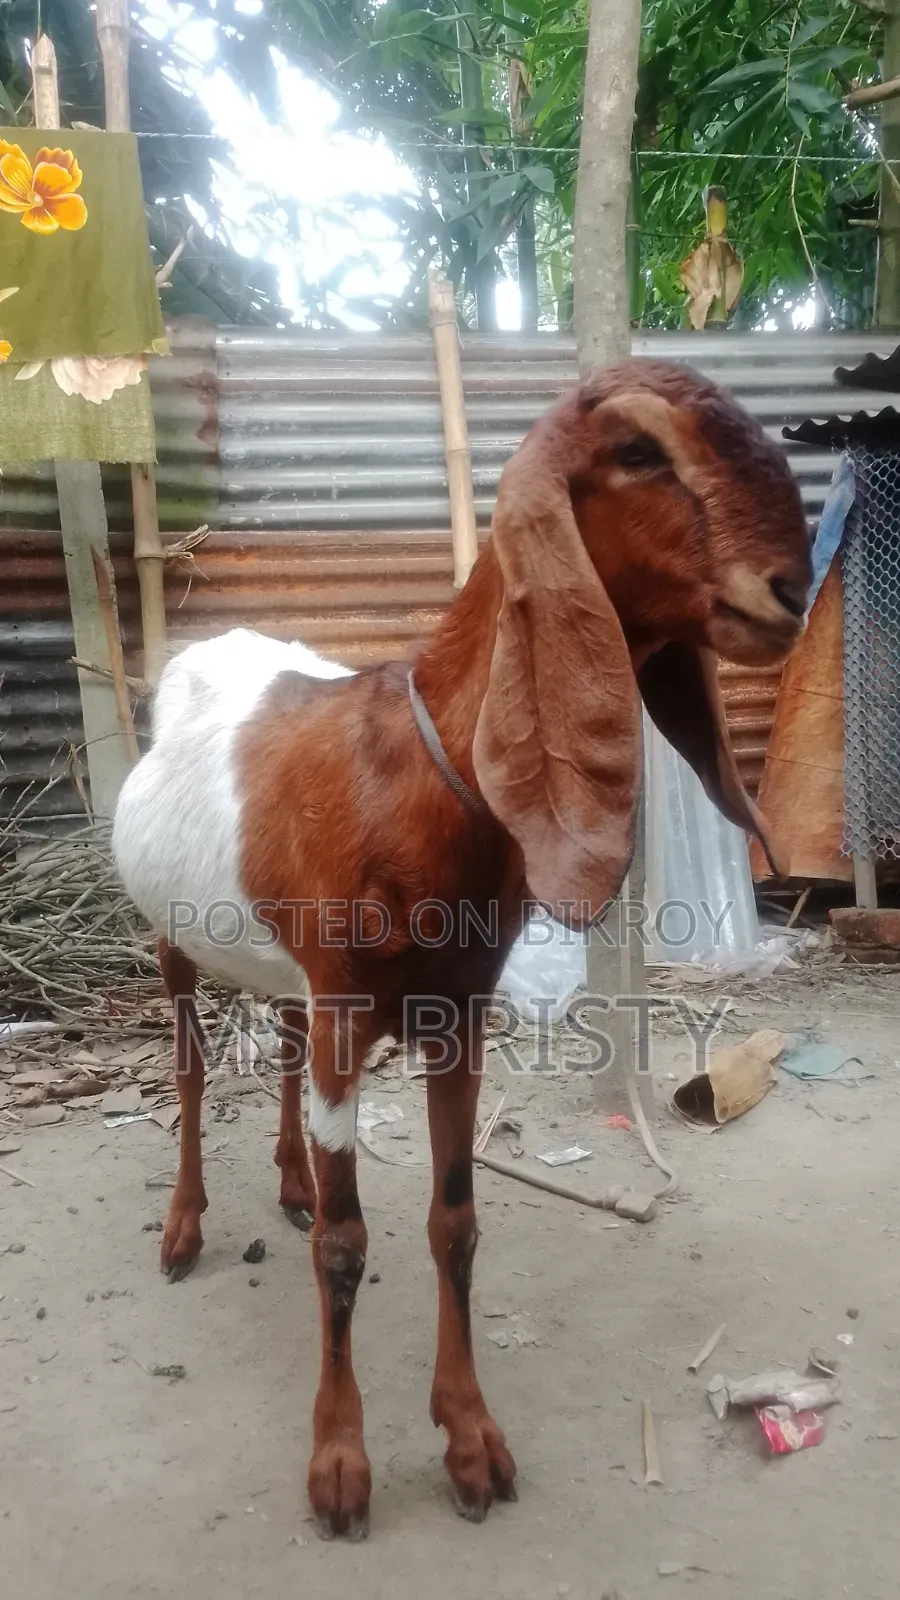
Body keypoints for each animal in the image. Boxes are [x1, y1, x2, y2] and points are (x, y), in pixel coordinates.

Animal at [113, 360, 811, 1539]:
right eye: (638, 451)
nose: (792, 591)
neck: (411, 779)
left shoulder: (454, 1018)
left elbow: (455, 1221)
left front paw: (472, 1440)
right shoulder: (352, 1007)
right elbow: (346, 1244)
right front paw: (339, 1466)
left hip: (294, 976)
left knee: (283, 1047)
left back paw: (289, 1179)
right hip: (173, 940)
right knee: (194, 1067)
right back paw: (184, 1226)